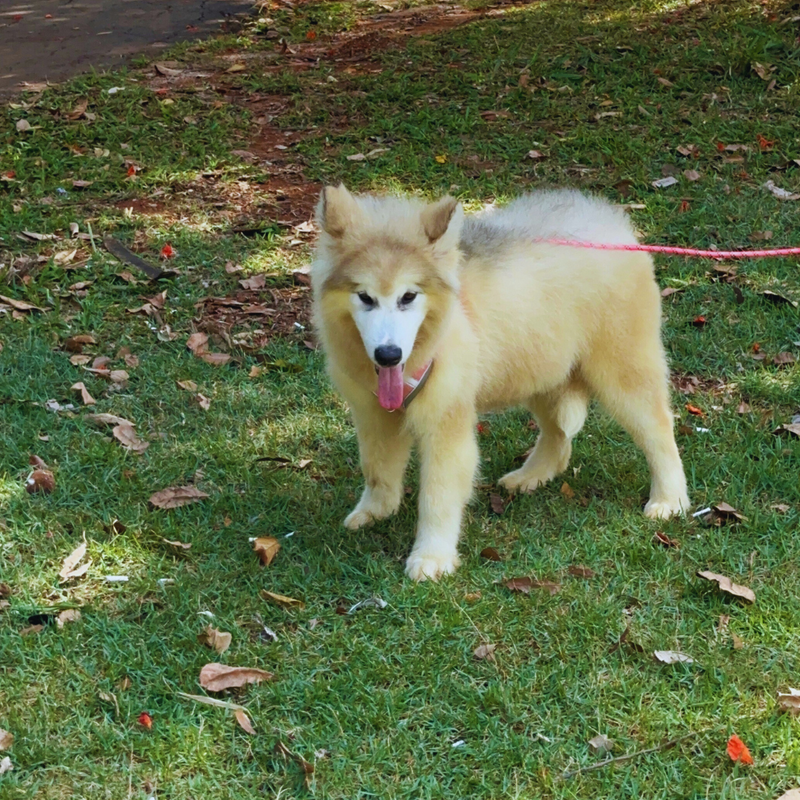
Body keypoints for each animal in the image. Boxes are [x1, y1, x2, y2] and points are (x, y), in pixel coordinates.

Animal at [310, 184, 692, 580]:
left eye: (408, 296)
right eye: (365, 297)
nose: (388, 355)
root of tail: (611, 221)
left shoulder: (446, 425)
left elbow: (438, 494)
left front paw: (432, 556)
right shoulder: (373, 414)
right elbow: (376, 468)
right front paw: (376, 510)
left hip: (623, 374)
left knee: (659, 432)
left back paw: (670, 499)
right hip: (539, 371)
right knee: (558, 438)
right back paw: (532, 476)